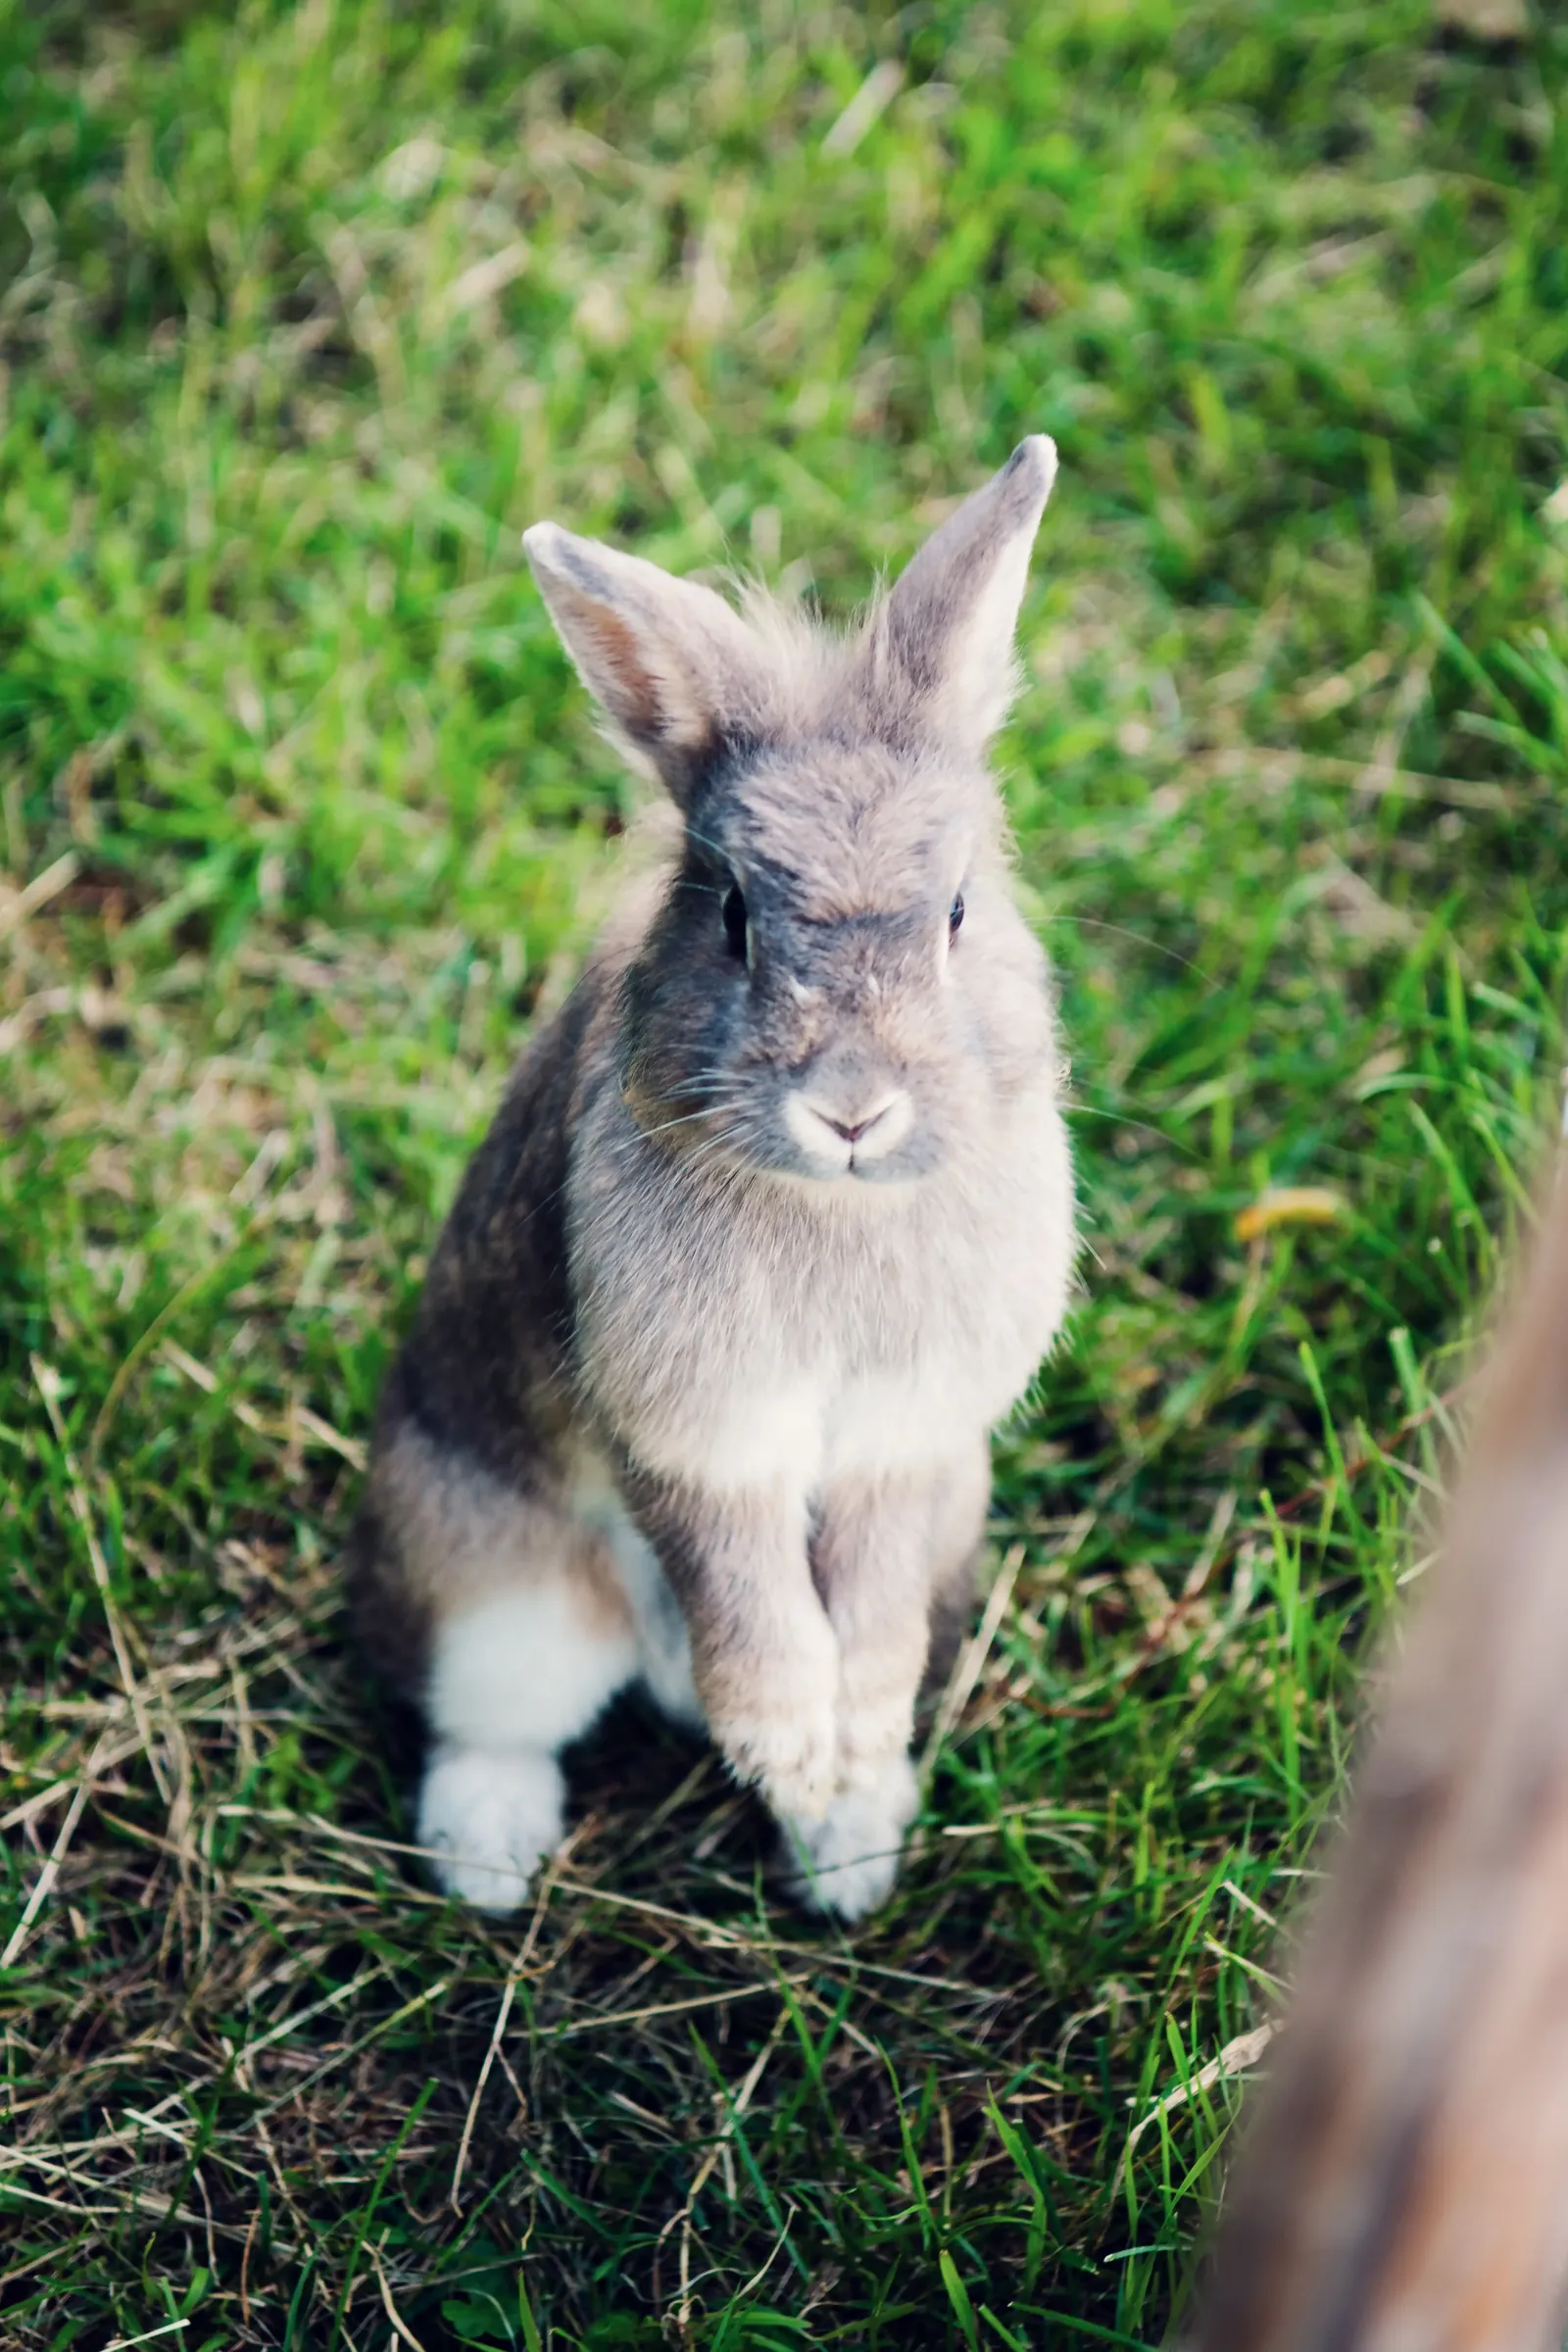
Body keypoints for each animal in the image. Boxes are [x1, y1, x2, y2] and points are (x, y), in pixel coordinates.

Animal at [348, 436, 1077, 1921]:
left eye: (958, 912)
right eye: (733, 913)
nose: (852, 1108)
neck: (843, 1202)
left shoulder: (907, 1445)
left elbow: (863, 1605)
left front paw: (835, 1757)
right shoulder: (693, 1435)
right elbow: (744, 1585)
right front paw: (786, 1748)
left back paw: (851, 1852)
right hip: (489, 1589)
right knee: (485, 1719)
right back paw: (490, 1867)